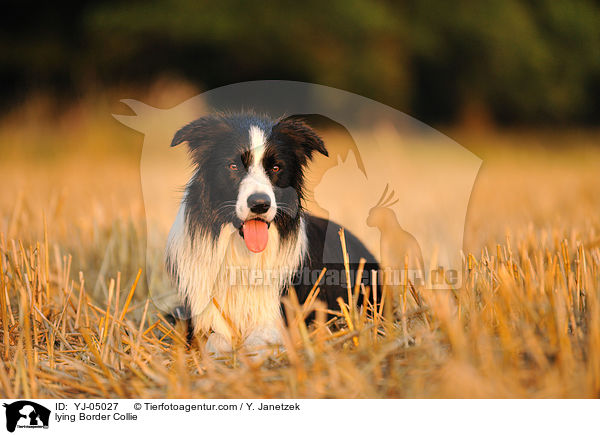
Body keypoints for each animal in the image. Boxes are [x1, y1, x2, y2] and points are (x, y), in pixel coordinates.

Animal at [166, 112, 378, 354]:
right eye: (233, 166)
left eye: (276, 168)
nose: (260, 204)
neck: (243, 252)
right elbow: (215, 339)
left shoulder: (277, 319)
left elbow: (258, 341)